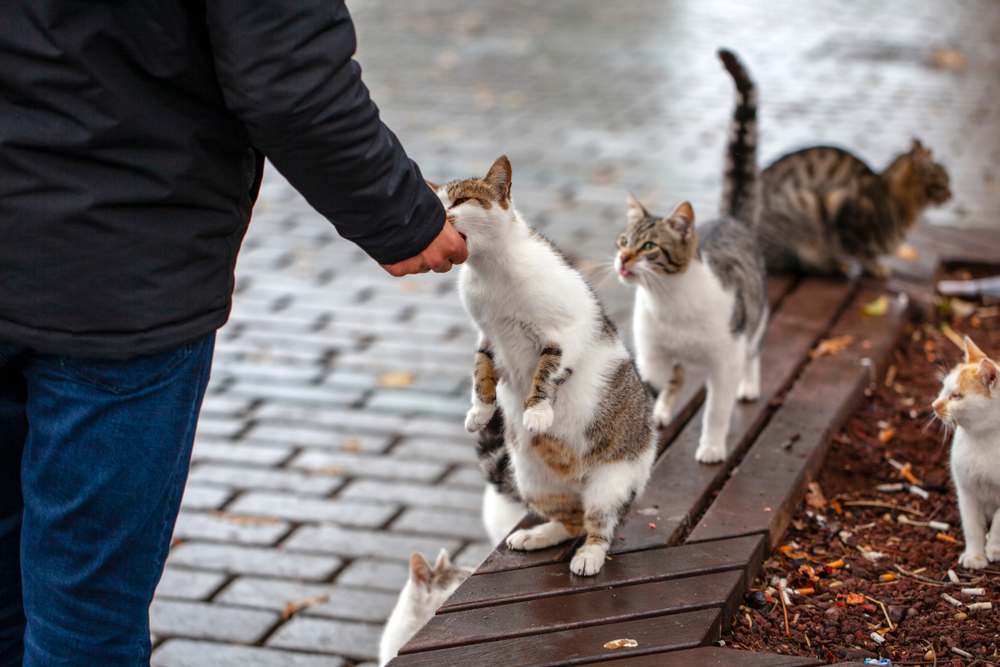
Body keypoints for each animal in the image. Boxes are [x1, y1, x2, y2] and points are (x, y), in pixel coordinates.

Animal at [432, 157, 656, 580]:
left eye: (462, 200)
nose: (438, 216)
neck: (490, 271)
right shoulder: (487, 336)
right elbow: (481, 371)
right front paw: (480, 411)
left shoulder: (565, 329)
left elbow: (547, 370)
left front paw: (537, 411)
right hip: (534, 481)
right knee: (570, 519)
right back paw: (536, 536)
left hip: (610, 483)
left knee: (598, 524)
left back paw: (589, 556)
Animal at [612, 48, 768, 464]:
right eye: (622, 241)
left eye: (649, 246)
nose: (623, 259)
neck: (669, 301)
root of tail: (731, 219)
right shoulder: (652, 352)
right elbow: (657, 382)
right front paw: (655, 411)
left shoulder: (726, 358)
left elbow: (716, 409)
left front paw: (711, 446)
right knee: (677, 377)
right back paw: (664, 409)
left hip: (754, 319)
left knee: (754, 352)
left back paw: (750, 385)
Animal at [756, 140, 952, 278]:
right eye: (943, 183)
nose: (951, 194)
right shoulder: (842, 210)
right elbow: (863, 253)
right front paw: (875, 267)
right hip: (806, 206)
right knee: (800, 261)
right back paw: (836, 265)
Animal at [928, 336, 1000, 572]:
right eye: (943, 389)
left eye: (956, 396)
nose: (934, 405)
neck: (983, 439)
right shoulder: (966, 491)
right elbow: (972, 526)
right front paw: (975, 555)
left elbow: (999, 521)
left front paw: (994, 547)